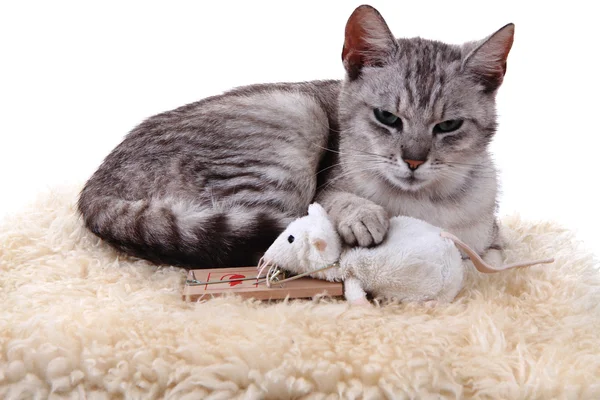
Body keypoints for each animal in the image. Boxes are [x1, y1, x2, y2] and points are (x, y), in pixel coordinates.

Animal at [77, 4, 512, 268]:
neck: (423, 206)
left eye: (448, 126)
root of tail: (96, 188)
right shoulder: (324, 188)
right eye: (387, 117)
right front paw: (363, 216)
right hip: (293, 122)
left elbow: (492, 245)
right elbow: (334, 203)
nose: (414, 160)